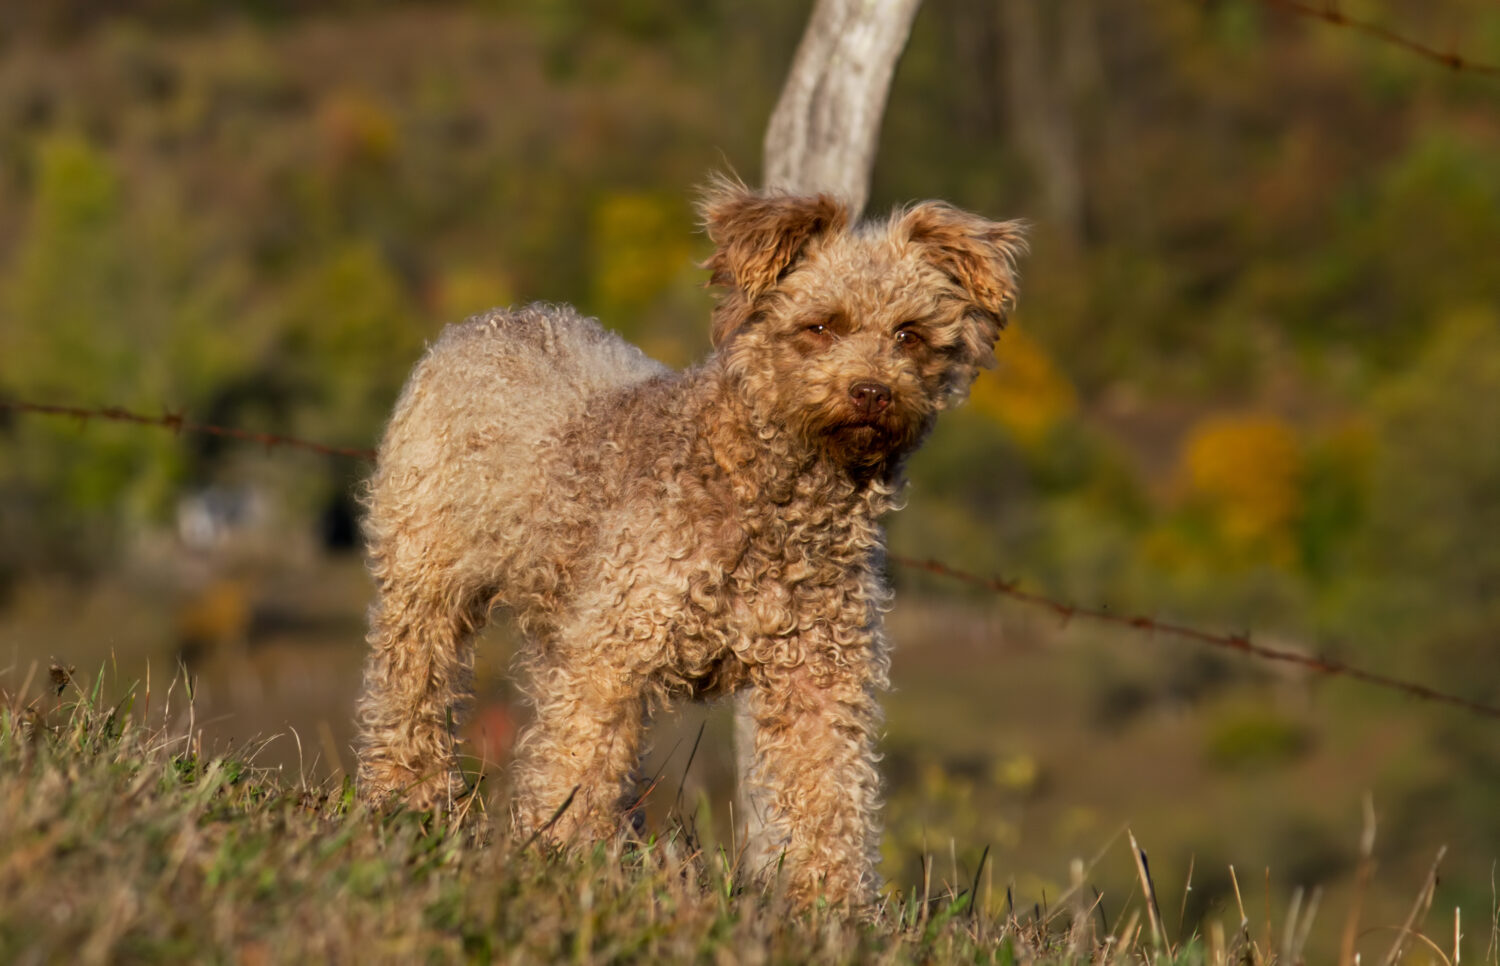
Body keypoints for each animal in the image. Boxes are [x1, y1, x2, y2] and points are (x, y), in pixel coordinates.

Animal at [357, 179, 1026, 906]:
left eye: (910, 335)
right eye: (820, 326)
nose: (872, 392)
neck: (770, 498)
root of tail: (488, 321)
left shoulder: (823, 672)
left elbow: (832, 793)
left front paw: (833, 907)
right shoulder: (611, 652)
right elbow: (578, 761)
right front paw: (563, 866)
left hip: (556, 618)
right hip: (428, 581)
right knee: (411, 690)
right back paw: (407, 801)